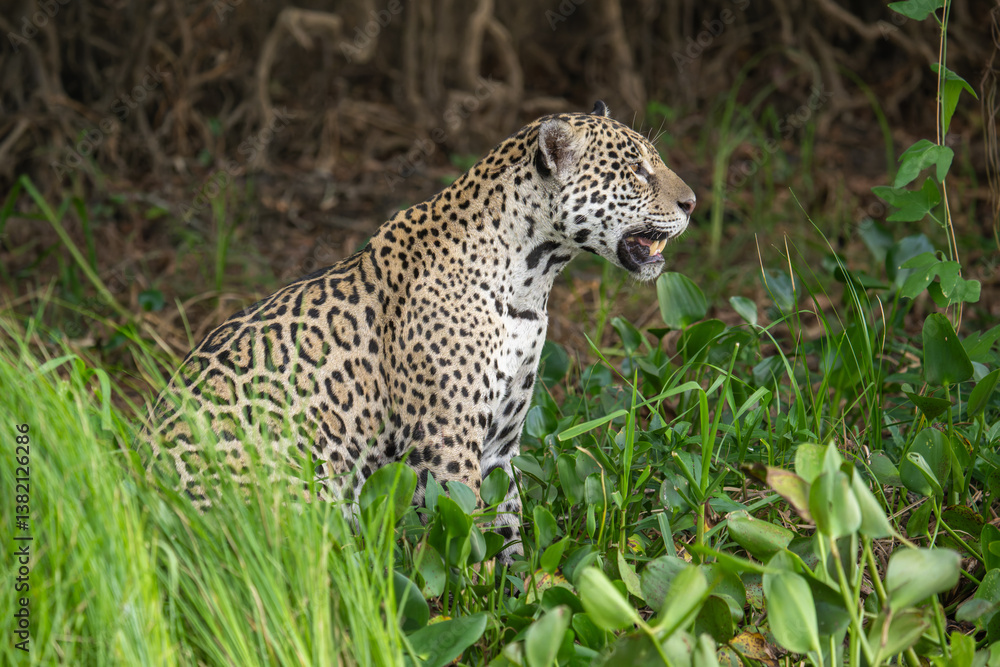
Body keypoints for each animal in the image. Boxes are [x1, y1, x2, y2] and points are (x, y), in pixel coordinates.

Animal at [140, 101, 696, 562]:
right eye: (636, 170)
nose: (692, 202)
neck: (532, 280)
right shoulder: (445, 448)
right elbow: (464, 543)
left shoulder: (500, 446)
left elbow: (507, 530)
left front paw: (522, 597)